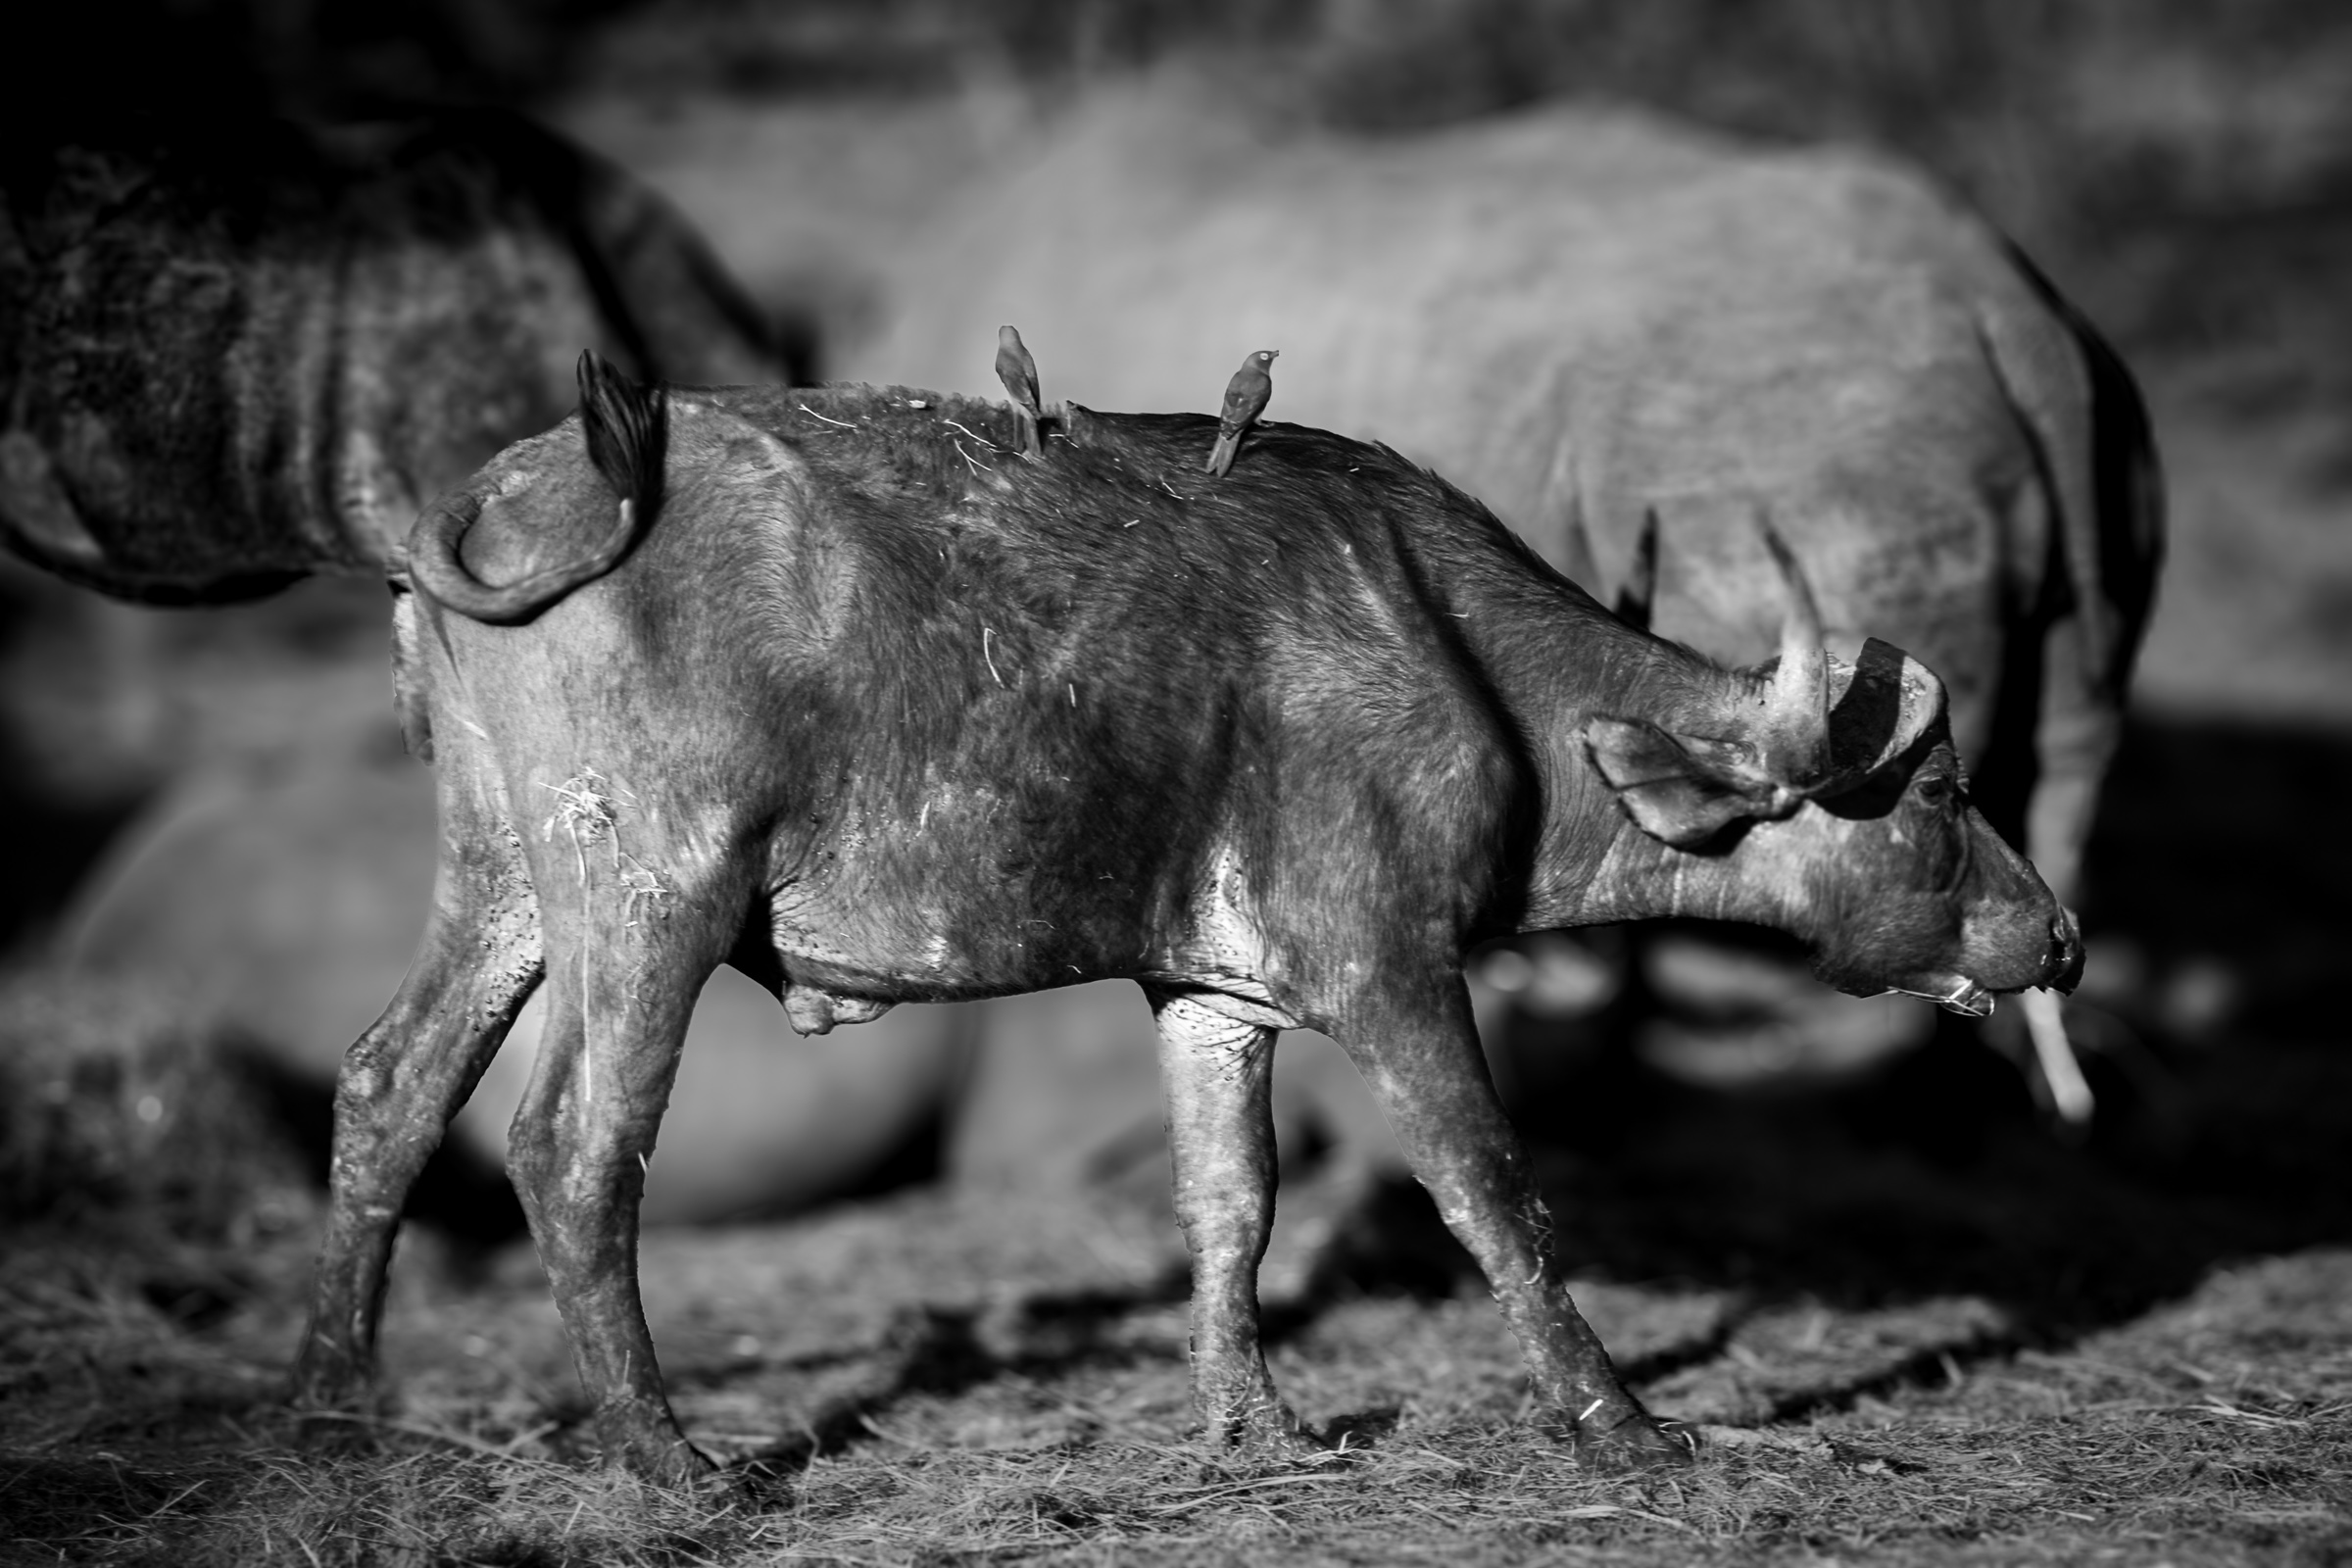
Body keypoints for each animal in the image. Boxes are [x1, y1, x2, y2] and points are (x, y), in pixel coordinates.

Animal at [290, 356, 2078, 1480]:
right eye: (1934, 793)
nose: (2054, 936)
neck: (1465, 660)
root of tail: (499, 497)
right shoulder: (1394, 974)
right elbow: (1494, 1192)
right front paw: (1622, 1425)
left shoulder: (1212, 995)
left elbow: (1233, 1203)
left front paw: (1250, 1428)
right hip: (650, 892)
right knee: (570, 1151)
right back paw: (668, 1464)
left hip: (504, 887)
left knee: (389, 1088)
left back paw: (329, 1409)